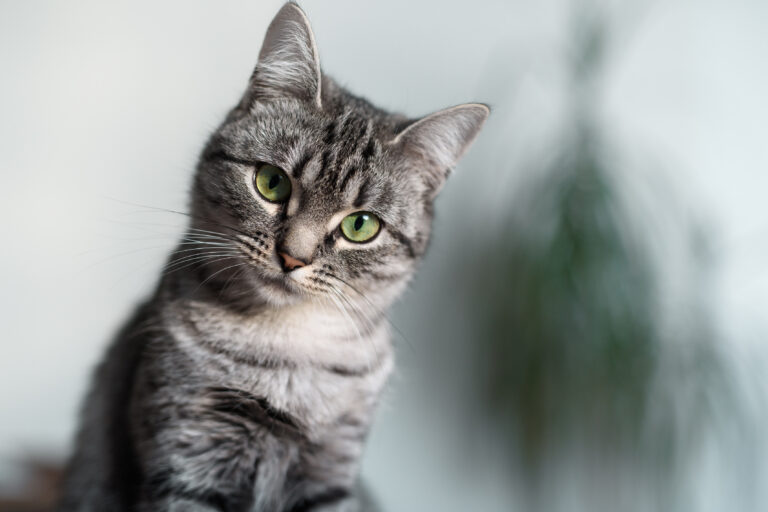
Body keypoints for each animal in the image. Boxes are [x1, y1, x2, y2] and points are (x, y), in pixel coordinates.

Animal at [55, 4, 486, 512]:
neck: (287, 350)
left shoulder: (331, 470)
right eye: (271, 182)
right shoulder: (188, 455)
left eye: (361, 226)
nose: (292, 257)